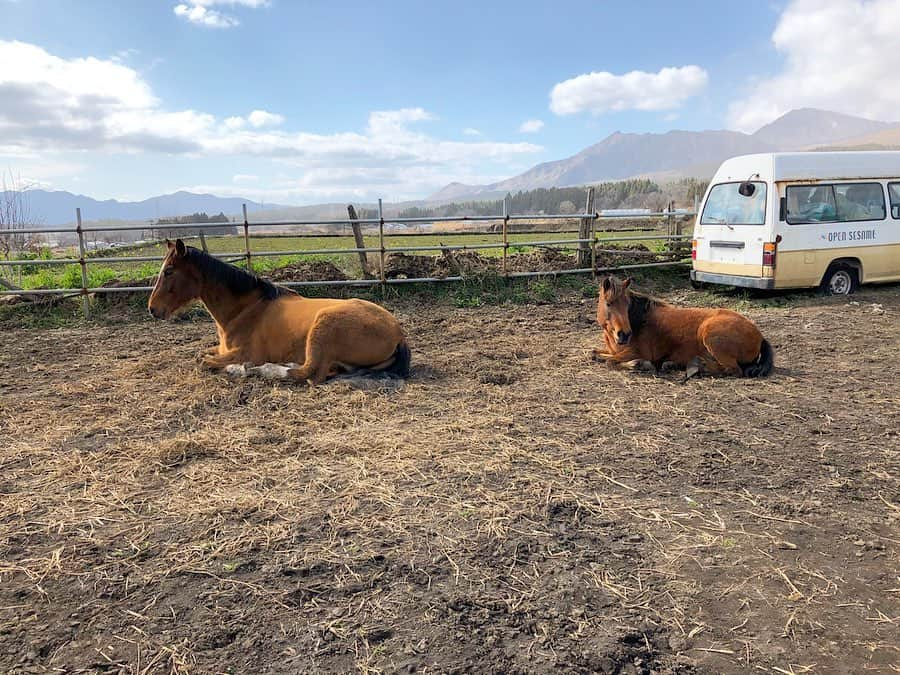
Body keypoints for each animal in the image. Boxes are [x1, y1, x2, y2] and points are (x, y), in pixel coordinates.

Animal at [149, 240, 412, 382]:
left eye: (169, 271)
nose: (152, 309)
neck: (246, 310)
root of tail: (398, 335)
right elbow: (201, 354)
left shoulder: (245, 352)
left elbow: (204, 361)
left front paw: (239, 367)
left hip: (323, 326)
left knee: (309, 374)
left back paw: (261, 369)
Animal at [592, 274, 772, 380]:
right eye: (609, 304)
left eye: (627, 304)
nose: (624, 334)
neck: (640, 320)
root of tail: (760, 337)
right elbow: (594, 354)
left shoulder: (635, 352)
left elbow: (611, 362)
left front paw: (639, 364)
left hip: (710, 335)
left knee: (732, 369)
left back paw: (697, 367)